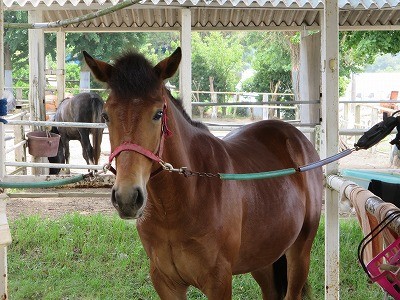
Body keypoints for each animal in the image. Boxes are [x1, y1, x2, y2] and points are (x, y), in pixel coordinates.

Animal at [83, 48, 324, 298]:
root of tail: (297, 139)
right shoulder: (165, 282)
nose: (127, 198)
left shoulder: (218, 282)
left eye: (158, 114)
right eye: (105, 116)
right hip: (263, 258)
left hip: (299, 254)